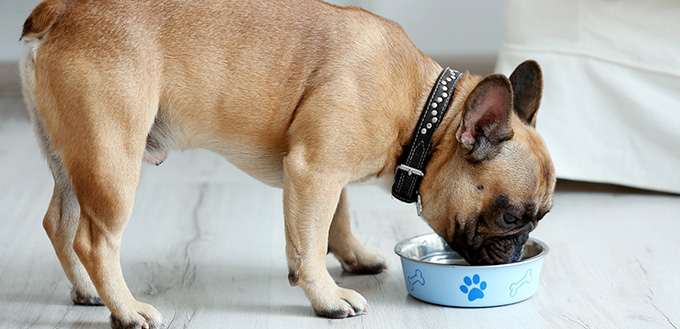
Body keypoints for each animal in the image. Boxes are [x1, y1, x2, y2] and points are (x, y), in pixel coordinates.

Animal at [19, 0, 552, 326]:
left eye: (541, 217)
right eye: (511, 217)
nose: (519, 249)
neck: (425, 113)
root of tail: (61, 10)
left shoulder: (328, 173)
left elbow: (337, 219)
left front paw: (354, 256)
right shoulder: (314, 170)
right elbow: (309, 244)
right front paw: (328, 297)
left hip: (71, 153)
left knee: (58, 222)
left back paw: (89, 292)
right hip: (112, 154)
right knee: (94, 239)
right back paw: (127, 310)